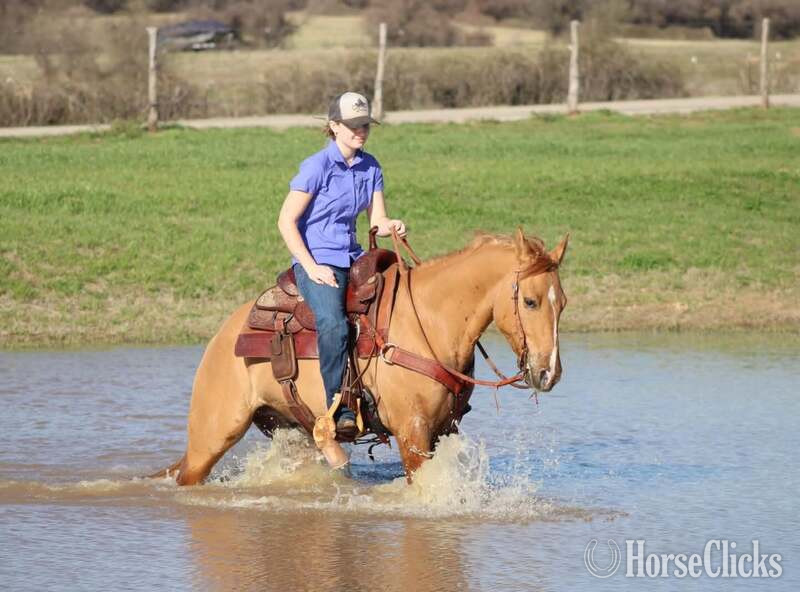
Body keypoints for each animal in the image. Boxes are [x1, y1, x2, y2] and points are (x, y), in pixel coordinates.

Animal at [152, 229, 568, 485]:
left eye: (561, 302)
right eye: (530, 301)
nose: (548, 373)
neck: (429, 322)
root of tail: (222, 337)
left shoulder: (444, 429)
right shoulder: (412, 432)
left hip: (290, 430)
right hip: (212, 437)